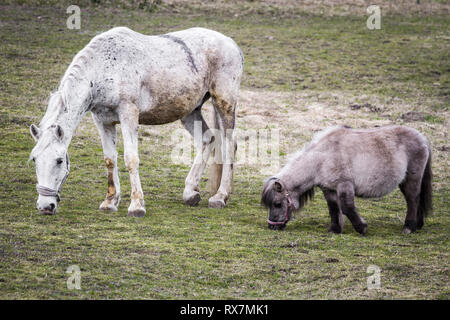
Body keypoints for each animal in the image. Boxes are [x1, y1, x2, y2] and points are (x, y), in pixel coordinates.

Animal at [29, 26, 244, 215]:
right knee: (208, 140)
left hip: (224, 103)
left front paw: (137, 205)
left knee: (229, 145)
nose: (45, 206)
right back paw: (191, 193)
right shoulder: (102, 121)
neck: (103, 69)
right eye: (34, 159)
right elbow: (110, 159)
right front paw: (110, 202)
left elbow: (131, 159)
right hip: (191, 112)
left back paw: (220, 197)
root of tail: (231, 43)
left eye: (59, 160)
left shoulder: (128, 114)